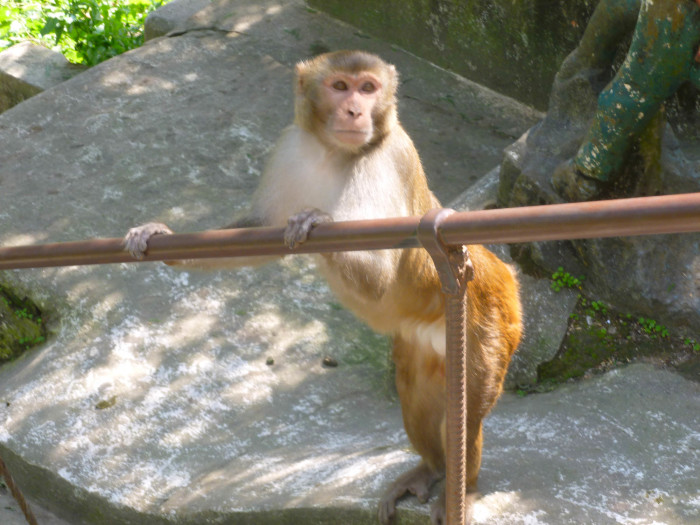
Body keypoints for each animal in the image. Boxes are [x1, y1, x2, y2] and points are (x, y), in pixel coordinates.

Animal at [124, 50, 522, 525]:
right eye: (339, 86)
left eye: (367, 88)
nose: (354, 111)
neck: (334, 153)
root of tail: (501, 270)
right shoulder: (290, 148)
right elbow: (257, 231)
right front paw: (160, 235)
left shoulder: (389, 156)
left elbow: (382, 276)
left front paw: (316, 220)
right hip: (424, 344)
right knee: (418, 398)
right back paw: (431, 469)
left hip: (488, 319)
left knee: (468, 414)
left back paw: (465, 486)